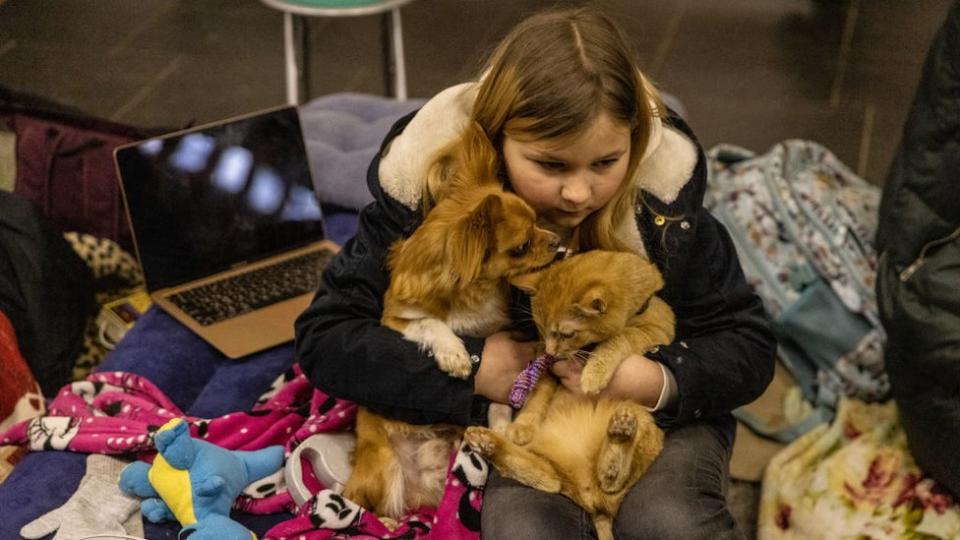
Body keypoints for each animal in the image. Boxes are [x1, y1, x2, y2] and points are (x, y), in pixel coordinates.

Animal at [344, 181, 556, 520]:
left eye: (538, 221)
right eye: (521, 247)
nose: (557, 241)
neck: (474, 292)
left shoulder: (495, 330)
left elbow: (499, 402)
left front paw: (500, 427)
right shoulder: (394, 321)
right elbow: (430, 322)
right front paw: (454, 354)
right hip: (385, 466)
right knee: (368, 507)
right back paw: (385, 523)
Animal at [464, 250, 676, 540]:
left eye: (566, 333)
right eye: (541, 329)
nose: (550, 351)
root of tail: (590, 499)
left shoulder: (656, 331)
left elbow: (621, 338)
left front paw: (594, 372)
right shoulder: (548, 371)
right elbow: (536, 398)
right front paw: (522, 426)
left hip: (640, 418)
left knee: (611, 480)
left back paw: (620, 432)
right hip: (550, 468)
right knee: (546, 478)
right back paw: (486, 442)